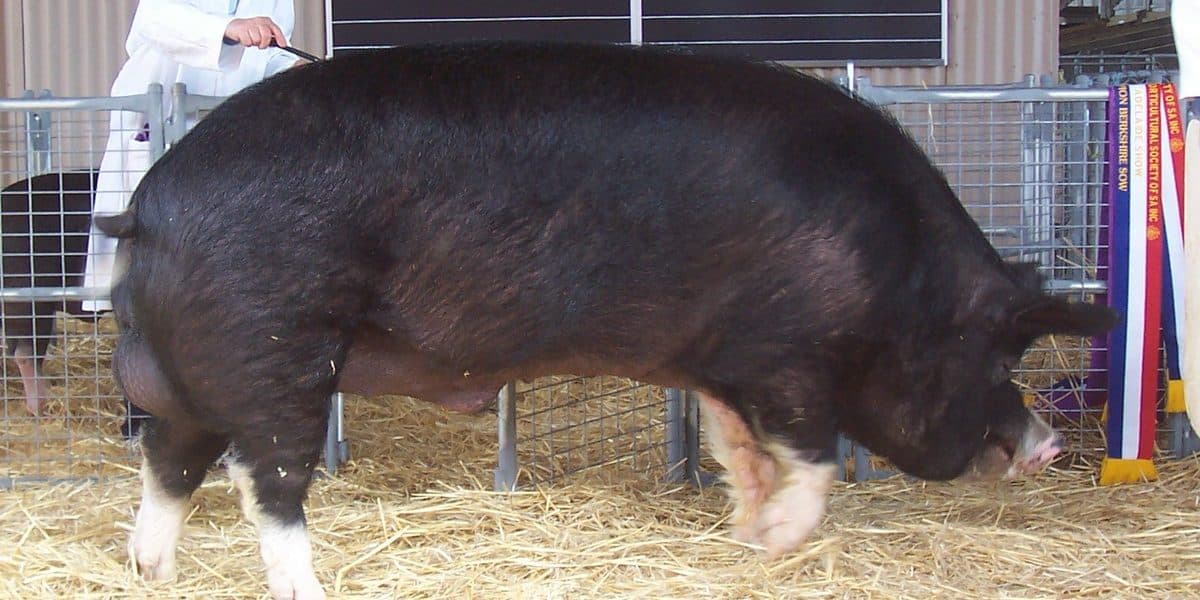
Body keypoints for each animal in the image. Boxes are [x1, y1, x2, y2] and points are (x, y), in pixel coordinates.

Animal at [97, 42, 1117, 599]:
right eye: (998, 354)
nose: (1051, 444)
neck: (895, 272)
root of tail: (151, 207)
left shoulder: (719, 359)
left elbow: (735, 445)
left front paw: (745, 532)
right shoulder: (787, 353)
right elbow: (817, 456)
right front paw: (780, 542)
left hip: (186, 374)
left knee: (170, 465)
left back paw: (153, 575)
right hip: (276, 346)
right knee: (264, 480)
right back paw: (310, 587)